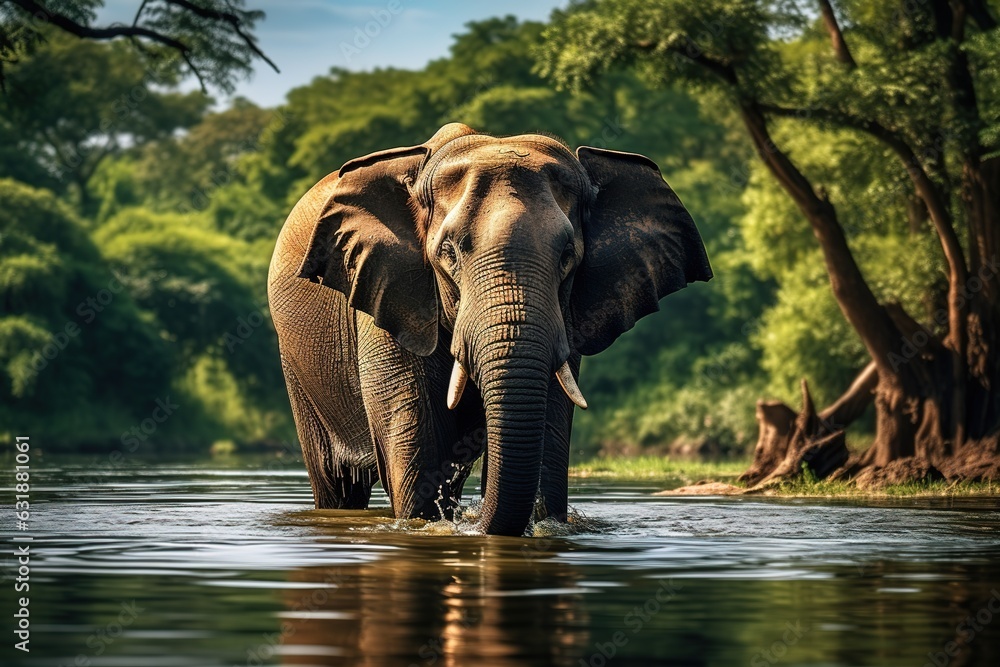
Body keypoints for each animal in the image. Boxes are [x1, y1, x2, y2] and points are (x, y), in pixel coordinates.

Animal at [267, 123, 711, 536]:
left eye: (568, 256)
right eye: (448, 253)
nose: (475, 523)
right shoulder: (388, 296)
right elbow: (416, 456)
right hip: (297, 367)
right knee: (336, 484)